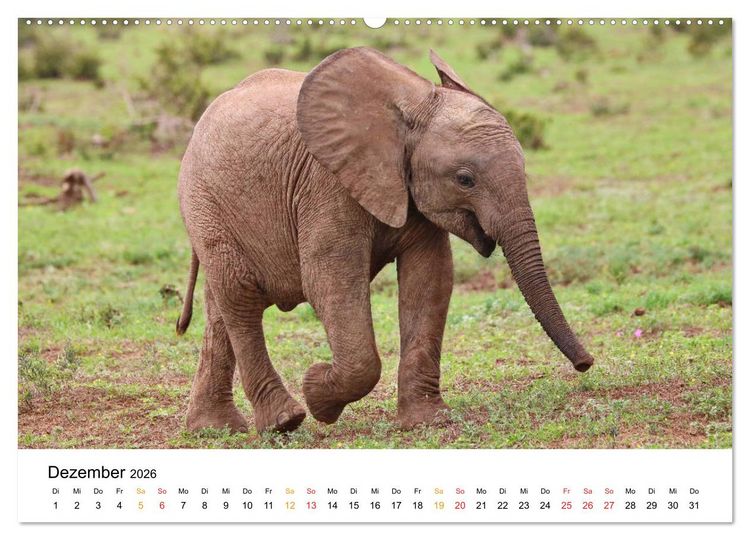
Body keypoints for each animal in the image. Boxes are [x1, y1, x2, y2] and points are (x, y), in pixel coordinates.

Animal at [175, 47, 594, 435]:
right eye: (465, 179)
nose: (586, 364)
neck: (412, 105)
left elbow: (430, 277)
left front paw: (427, 421)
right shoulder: (326, 183)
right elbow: (329, 281)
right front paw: (317, 393)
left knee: (220, 309)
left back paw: (215, 427)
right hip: (204, 202)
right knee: (239, 296)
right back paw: (284, 422)